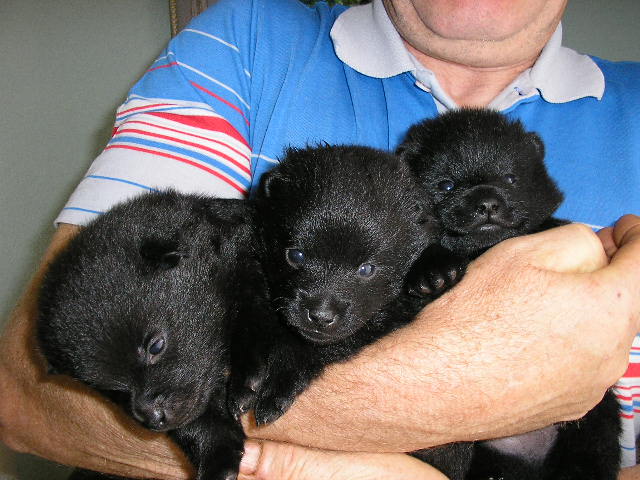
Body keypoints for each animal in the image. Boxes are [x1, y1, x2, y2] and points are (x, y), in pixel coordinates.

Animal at [37, 191, 263, 480]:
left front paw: (248, 380)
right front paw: (217, 456)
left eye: (156, 346)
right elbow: (199, 421)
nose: (153, 418)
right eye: (108, 390)